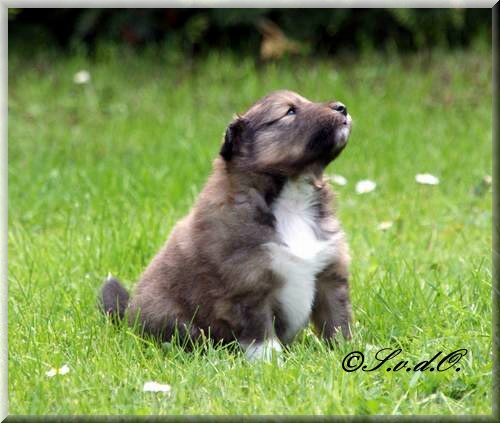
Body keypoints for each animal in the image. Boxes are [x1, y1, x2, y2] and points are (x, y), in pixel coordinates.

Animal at [100, 90, 353, 360]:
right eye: (289, 111)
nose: (342, 107)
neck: (292, 200)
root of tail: (128, 315)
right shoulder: (248, 288)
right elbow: (261, 337)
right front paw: (271, 364)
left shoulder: (329, 276)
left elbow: (338, 321)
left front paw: (345, 350)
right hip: (175, 320)